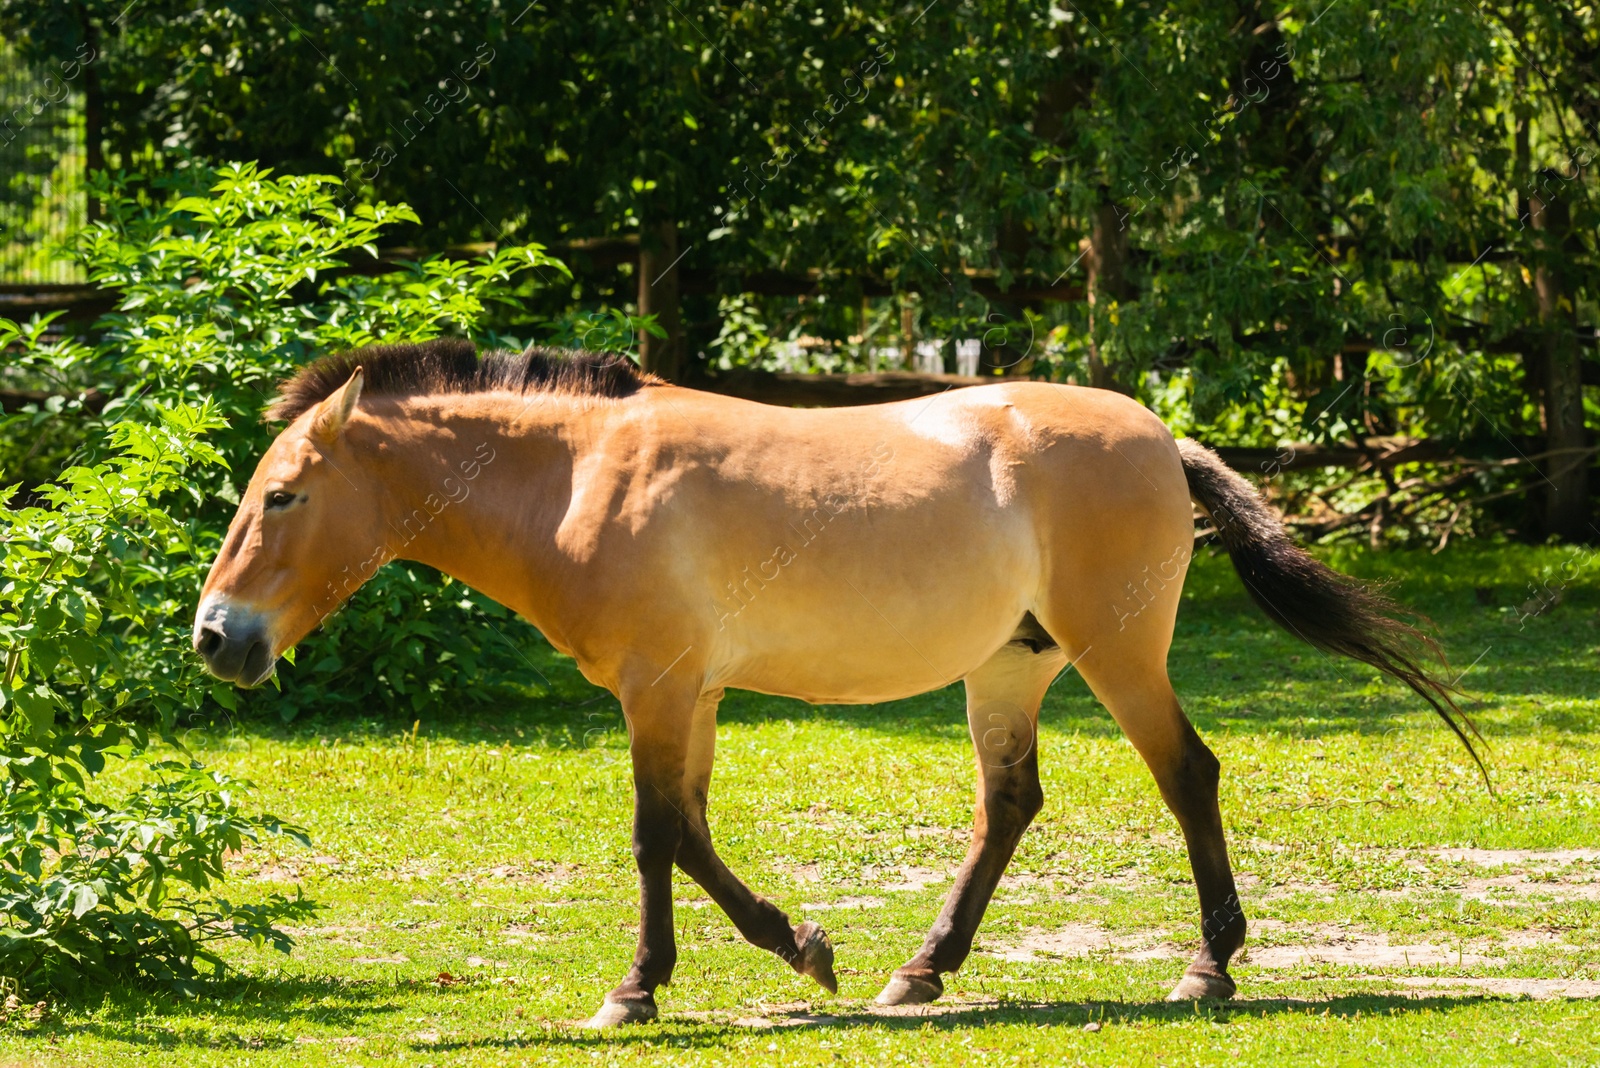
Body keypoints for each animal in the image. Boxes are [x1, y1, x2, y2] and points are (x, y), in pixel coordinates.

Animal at [190, 340, 1472, 1023]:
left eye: (282, 495)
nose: (216, 639)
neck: (579, 482)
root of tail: (1162, 439)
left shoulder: (659, 689)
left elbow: (656, 836)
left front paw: (640, 989)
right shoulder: (692, 694)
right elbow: (689, 834)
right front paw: (802, 948)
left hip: (1118, 657)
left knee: (1186, 776)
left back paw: (1205, 970)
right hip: (1008, 672)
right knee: (1009, 805)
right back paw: (920, 972)